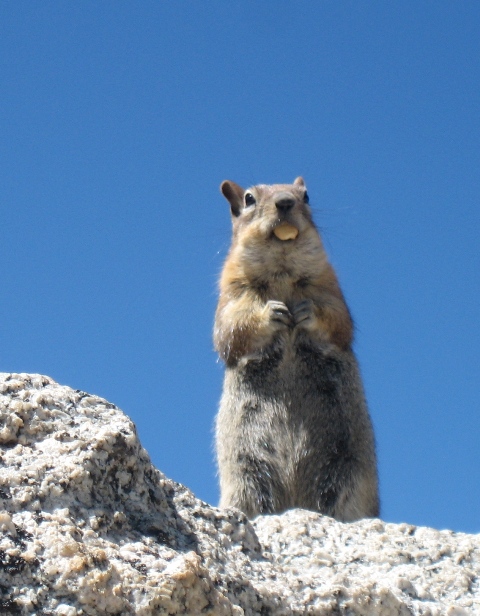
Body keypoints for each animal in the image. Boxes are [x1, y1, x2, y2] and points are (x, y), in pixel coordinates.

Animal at [214, 177, 378, 520]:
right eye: (249, 199)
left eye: (306, 195)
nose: (285, 202)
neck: (282, 270)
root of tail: (295, 501)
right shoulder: (230, 294)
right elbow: (230, 330)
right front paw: (270, 313)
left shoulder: (330, 288)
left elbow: (338, 321)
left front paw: (306, 313)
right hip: (247, 475)